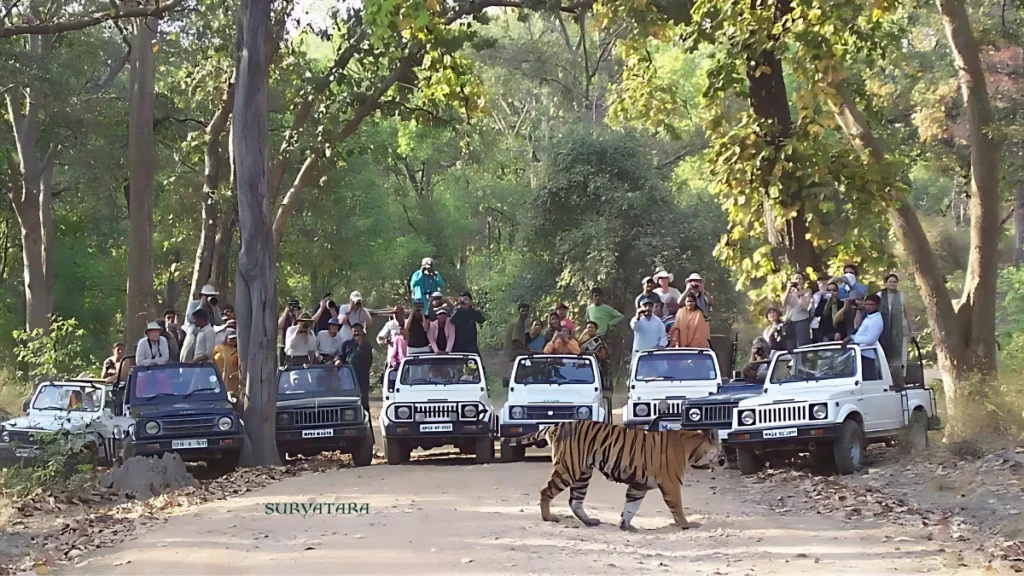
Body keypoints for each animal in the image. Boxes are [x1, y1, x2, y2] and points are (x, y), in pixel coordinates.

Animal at [512, 420, 720, 531]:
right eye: (720, 451)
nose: (724, 461)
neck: (692, 448)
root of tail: (557, 425)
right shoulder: (671, 484)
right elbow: (677, 507)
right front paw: (686, 524)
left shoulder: (639, 485)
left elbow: (631, 506)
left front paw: (626, 526)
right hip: (568, 469)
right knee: (546, 491)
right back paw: (549, 517)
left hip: (582, 474)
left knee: (575, 501)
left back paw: (590, 521)